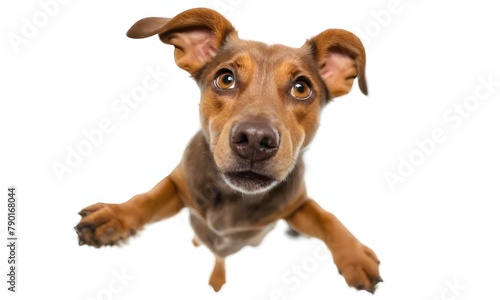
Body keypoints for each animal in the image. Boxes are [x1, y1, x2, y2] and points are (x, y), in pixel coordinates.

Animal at [74, 6, 380, 292]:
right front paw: (115, 216)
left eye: (301, 88)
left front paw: (354, 256)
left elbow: (326, 218)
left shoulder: (297, 204)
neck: (234, 196)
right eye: (226, 79)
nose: (255, 140)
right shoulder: (178, 185)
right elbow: (148, 198)